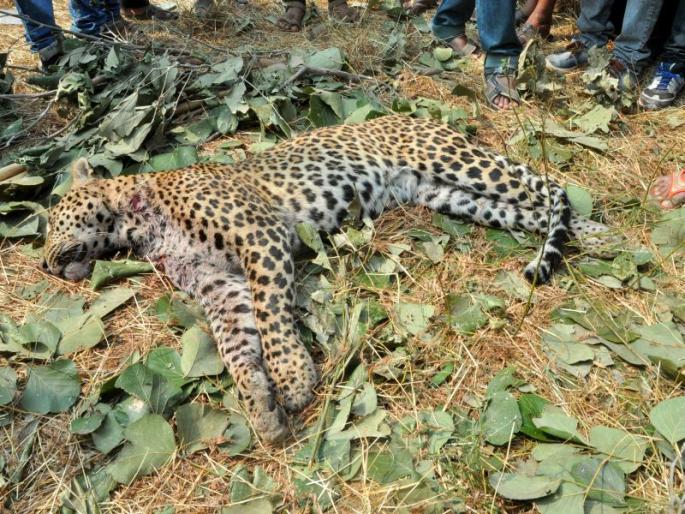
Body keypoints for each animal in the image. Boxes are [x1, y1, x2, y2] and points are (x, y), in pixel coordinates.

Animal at [41, 115, 616, 443]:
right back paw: (600, 235)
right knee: (534, 210)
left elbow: (272, 317)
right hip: (453, 196)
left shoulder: (260, 237)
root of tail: (411, 111)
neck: (141, 223)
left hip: (455, 161)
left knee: (550, 186)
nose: (45, 264)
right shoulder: (220, 287)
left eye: (52, 222)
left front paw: (293, 378)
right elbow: (236, 346)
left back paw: (583, 236)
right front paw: (261, 407)